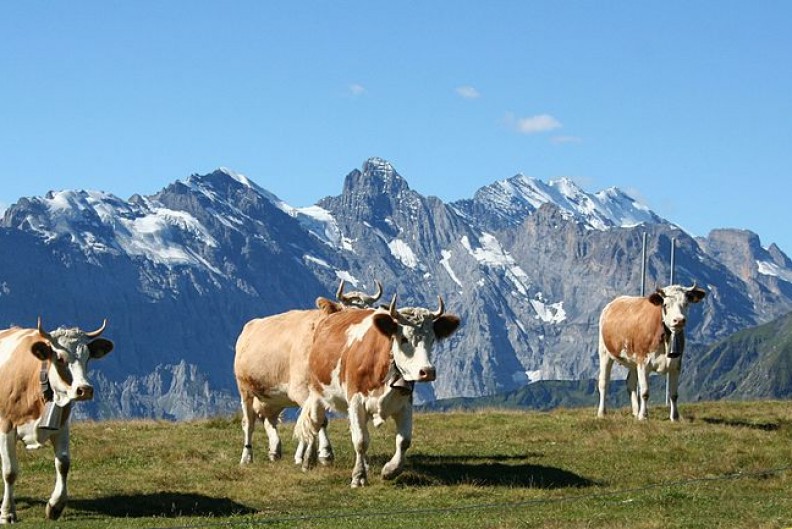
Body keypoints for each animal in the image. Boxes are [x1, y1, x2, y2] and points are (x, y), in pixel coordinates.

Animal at [0, 318, 113, 520]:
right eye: (60, 358)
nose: (85, 389)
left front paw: (55, 505)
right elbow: (10, 471)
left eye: (88, 357)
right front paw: (7, 513)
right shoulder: (6, 424)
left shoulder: (62, 425)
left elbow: (63, 463)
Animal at [234, 278, 382, 464]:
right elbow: (317, 421)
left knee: (269, 419)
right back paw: (246, 457)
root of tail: (250, 325)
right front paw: (324, 453)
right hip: (245, 389)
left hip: (274, 396)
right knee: (248, 423)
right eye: (348, 311)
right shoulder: (301, 391)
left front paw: (304, 455)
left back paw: (275, 450)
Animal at [296, 294, 458, 484]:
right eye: (404, 339)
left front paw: (390, 470)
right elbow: (360, 441)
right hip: (317, 393)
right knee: (315, 424)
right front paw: (359, 476)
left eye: (432, 339)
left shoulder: (405, 403)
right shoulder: (356, 401)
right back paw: (309, 460)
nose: (427, 372)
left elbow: (404, 440)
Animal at [596, 284, 708, 420]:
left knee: (630, 383)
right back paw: (602, 413)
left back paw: (635, 411)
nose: (679, 320)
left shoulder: (676, 364)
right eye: (665, 304)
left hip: (633, 360)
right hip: (604, 352)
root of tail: (613, 302)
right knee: (603, 382)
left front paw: (675, 417)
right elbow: (645, 392)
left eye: (686, 303)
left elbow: (673, 394)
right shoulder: (643, 362)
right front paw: (643, 416)